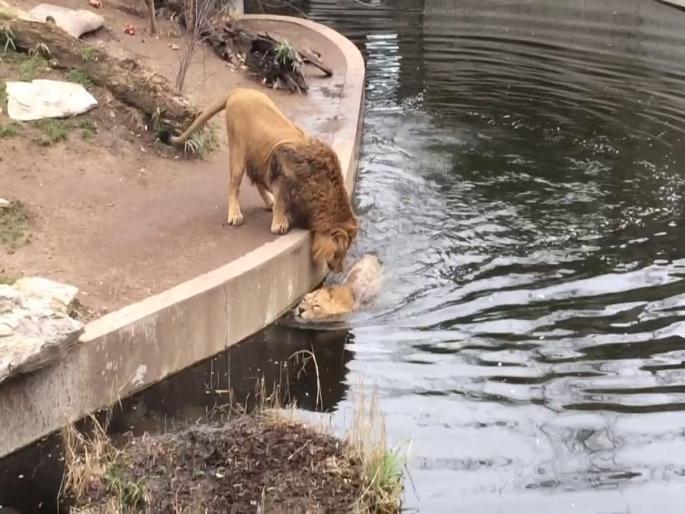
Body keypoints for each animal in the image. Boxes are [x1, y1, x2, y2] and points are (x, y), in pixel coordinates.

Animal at [162, 88, 358, 272]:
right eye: (340, 252)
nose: (342, 270)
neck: (324, 190)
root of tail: (240, 90)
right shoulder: (280, 168)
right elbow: (281, 200)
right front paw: (279, 224)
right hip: (238, 151)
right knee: (233, 185)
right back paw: (235, 215)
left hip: (257, 154)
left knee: (256, 179)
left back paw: (267, 202)